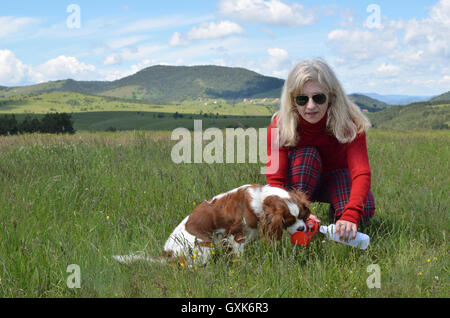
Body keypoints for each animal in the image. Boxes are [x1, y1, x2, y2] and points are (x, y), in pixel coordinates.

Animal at [113, 184, 310, 266]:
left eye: (302, 216)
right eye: (288, 221)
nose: (302, 228)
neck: (261, 201)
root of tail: (168, 252)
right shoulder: (236, 238)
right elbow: (241, 258)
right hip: (205, 246)